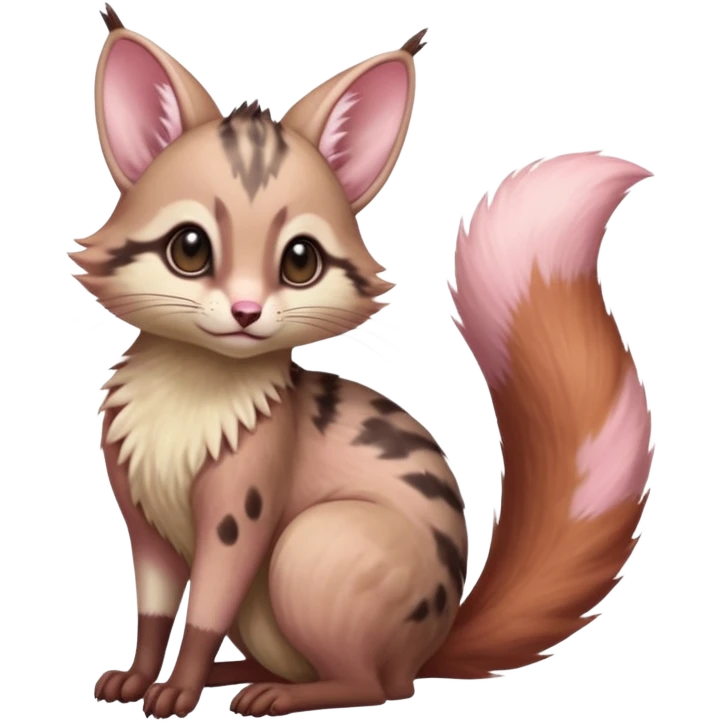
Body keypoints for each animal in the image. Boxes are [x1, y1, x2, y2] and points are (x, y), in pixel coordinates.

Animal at [77, 4, 655, 718]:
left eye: (300, 262)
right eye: (190, 249)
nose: (245, 311)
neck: (190, 392)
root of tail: (431, 645)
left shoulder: (243, 514)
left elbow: (206, 608)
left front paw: (177, 689)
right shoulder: (142, 519)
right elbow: (155, 614)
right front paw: (138, 679)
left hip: (311, 548)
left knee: (378, 686)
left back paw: (277, 693)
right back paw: (237, 674)